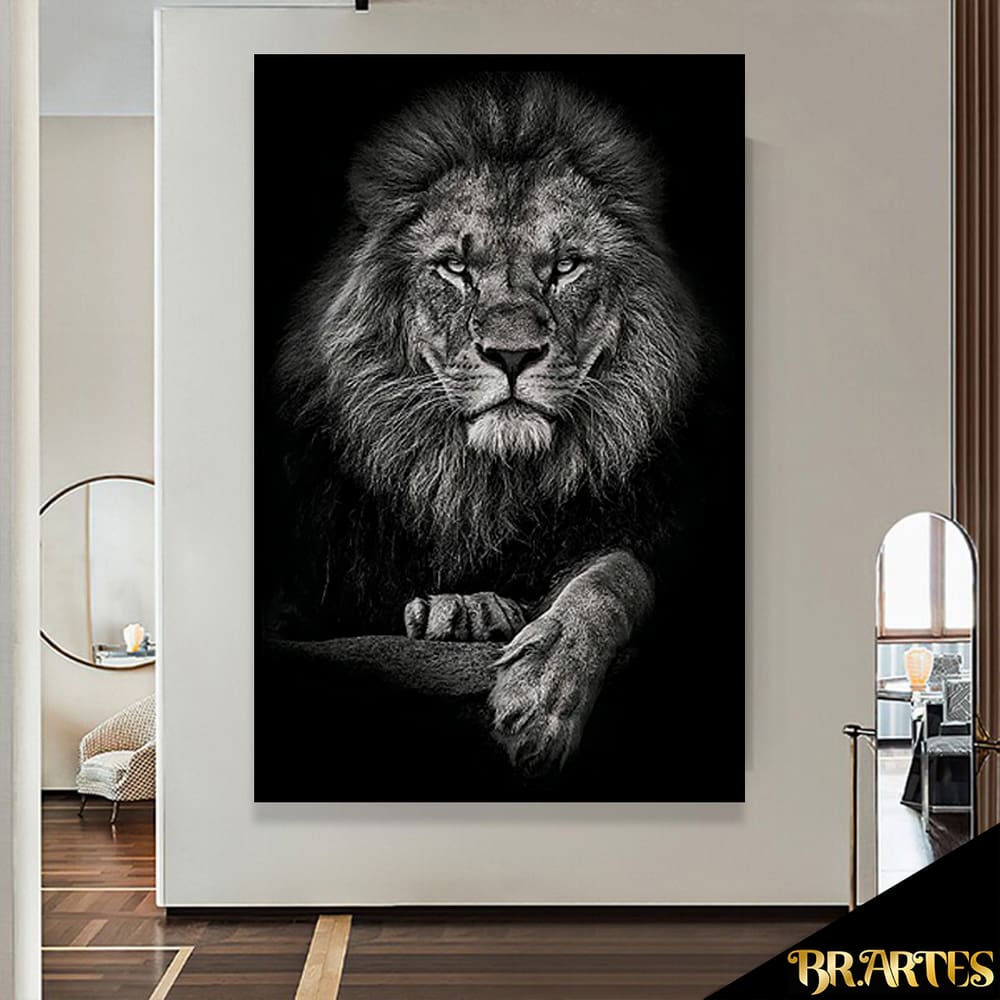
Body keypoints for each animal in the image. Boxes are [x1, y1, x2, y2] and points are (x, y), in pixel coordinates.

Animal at [266, 72, 723, 780]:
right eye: (456, 268)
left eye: (564, 267)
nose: (511, 355)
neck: (487, 486)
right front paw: (462, 611)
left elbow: (616, 576)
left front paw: (542, 690)